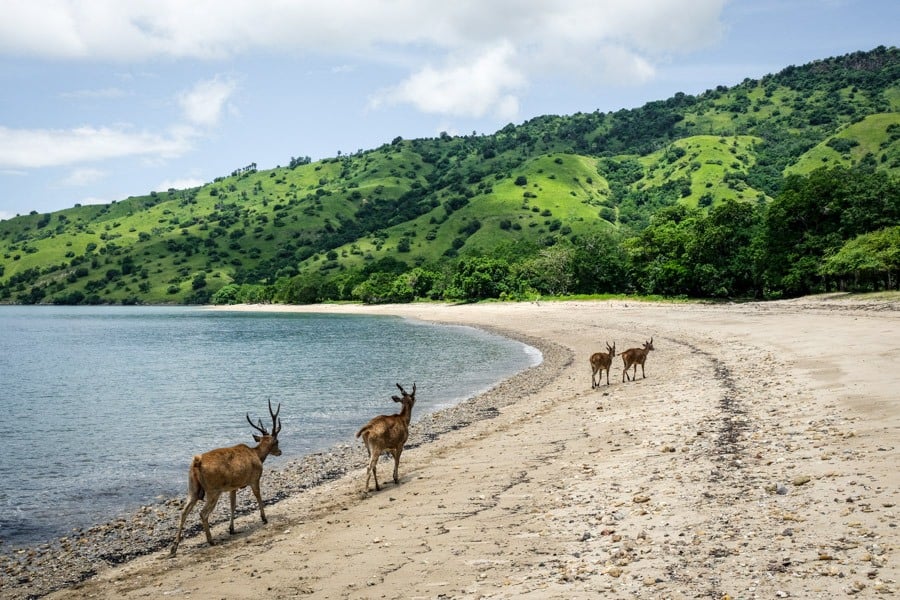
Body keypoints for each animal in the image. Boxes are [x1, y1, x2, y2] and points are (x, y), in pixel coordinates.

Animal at [169, 400, 282, 556]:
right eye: (277, 441)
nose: (280, 452)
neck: (258, 455)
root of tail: (197, 462)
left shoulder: (232, 487)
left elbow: (232, 505)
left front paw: (231, 529)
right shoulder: (254, 478)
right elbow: (258, 497)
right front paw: (264, 518)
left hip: (192, 488)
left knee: (184, 512)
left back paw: (174, 548)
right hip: (213, 490)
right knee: (203, 513)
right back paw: (210, 540)